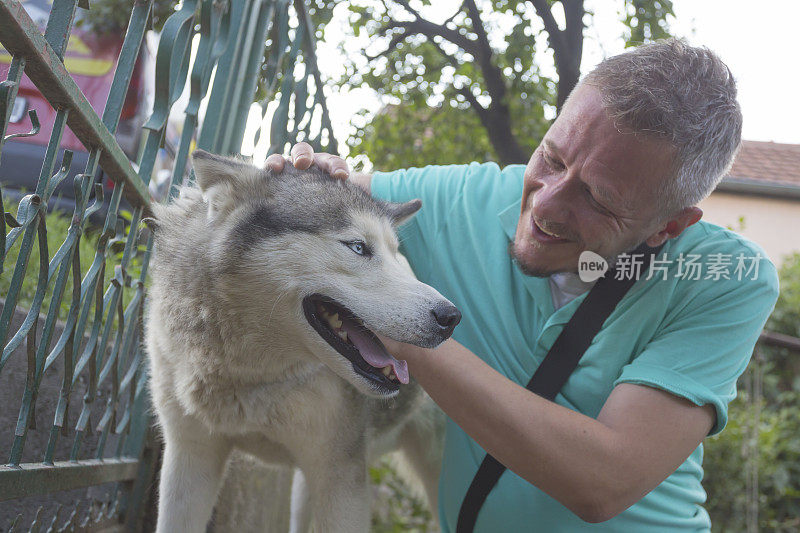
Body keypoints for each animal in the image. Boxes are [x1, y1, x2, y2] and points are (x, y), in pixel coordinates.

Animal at [143, 150, 456, 532]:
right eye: (358, 247)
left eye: (396, 255)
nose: (451, 318)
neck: (246, 376)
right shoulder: (190, 457)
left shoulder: (341, 480)